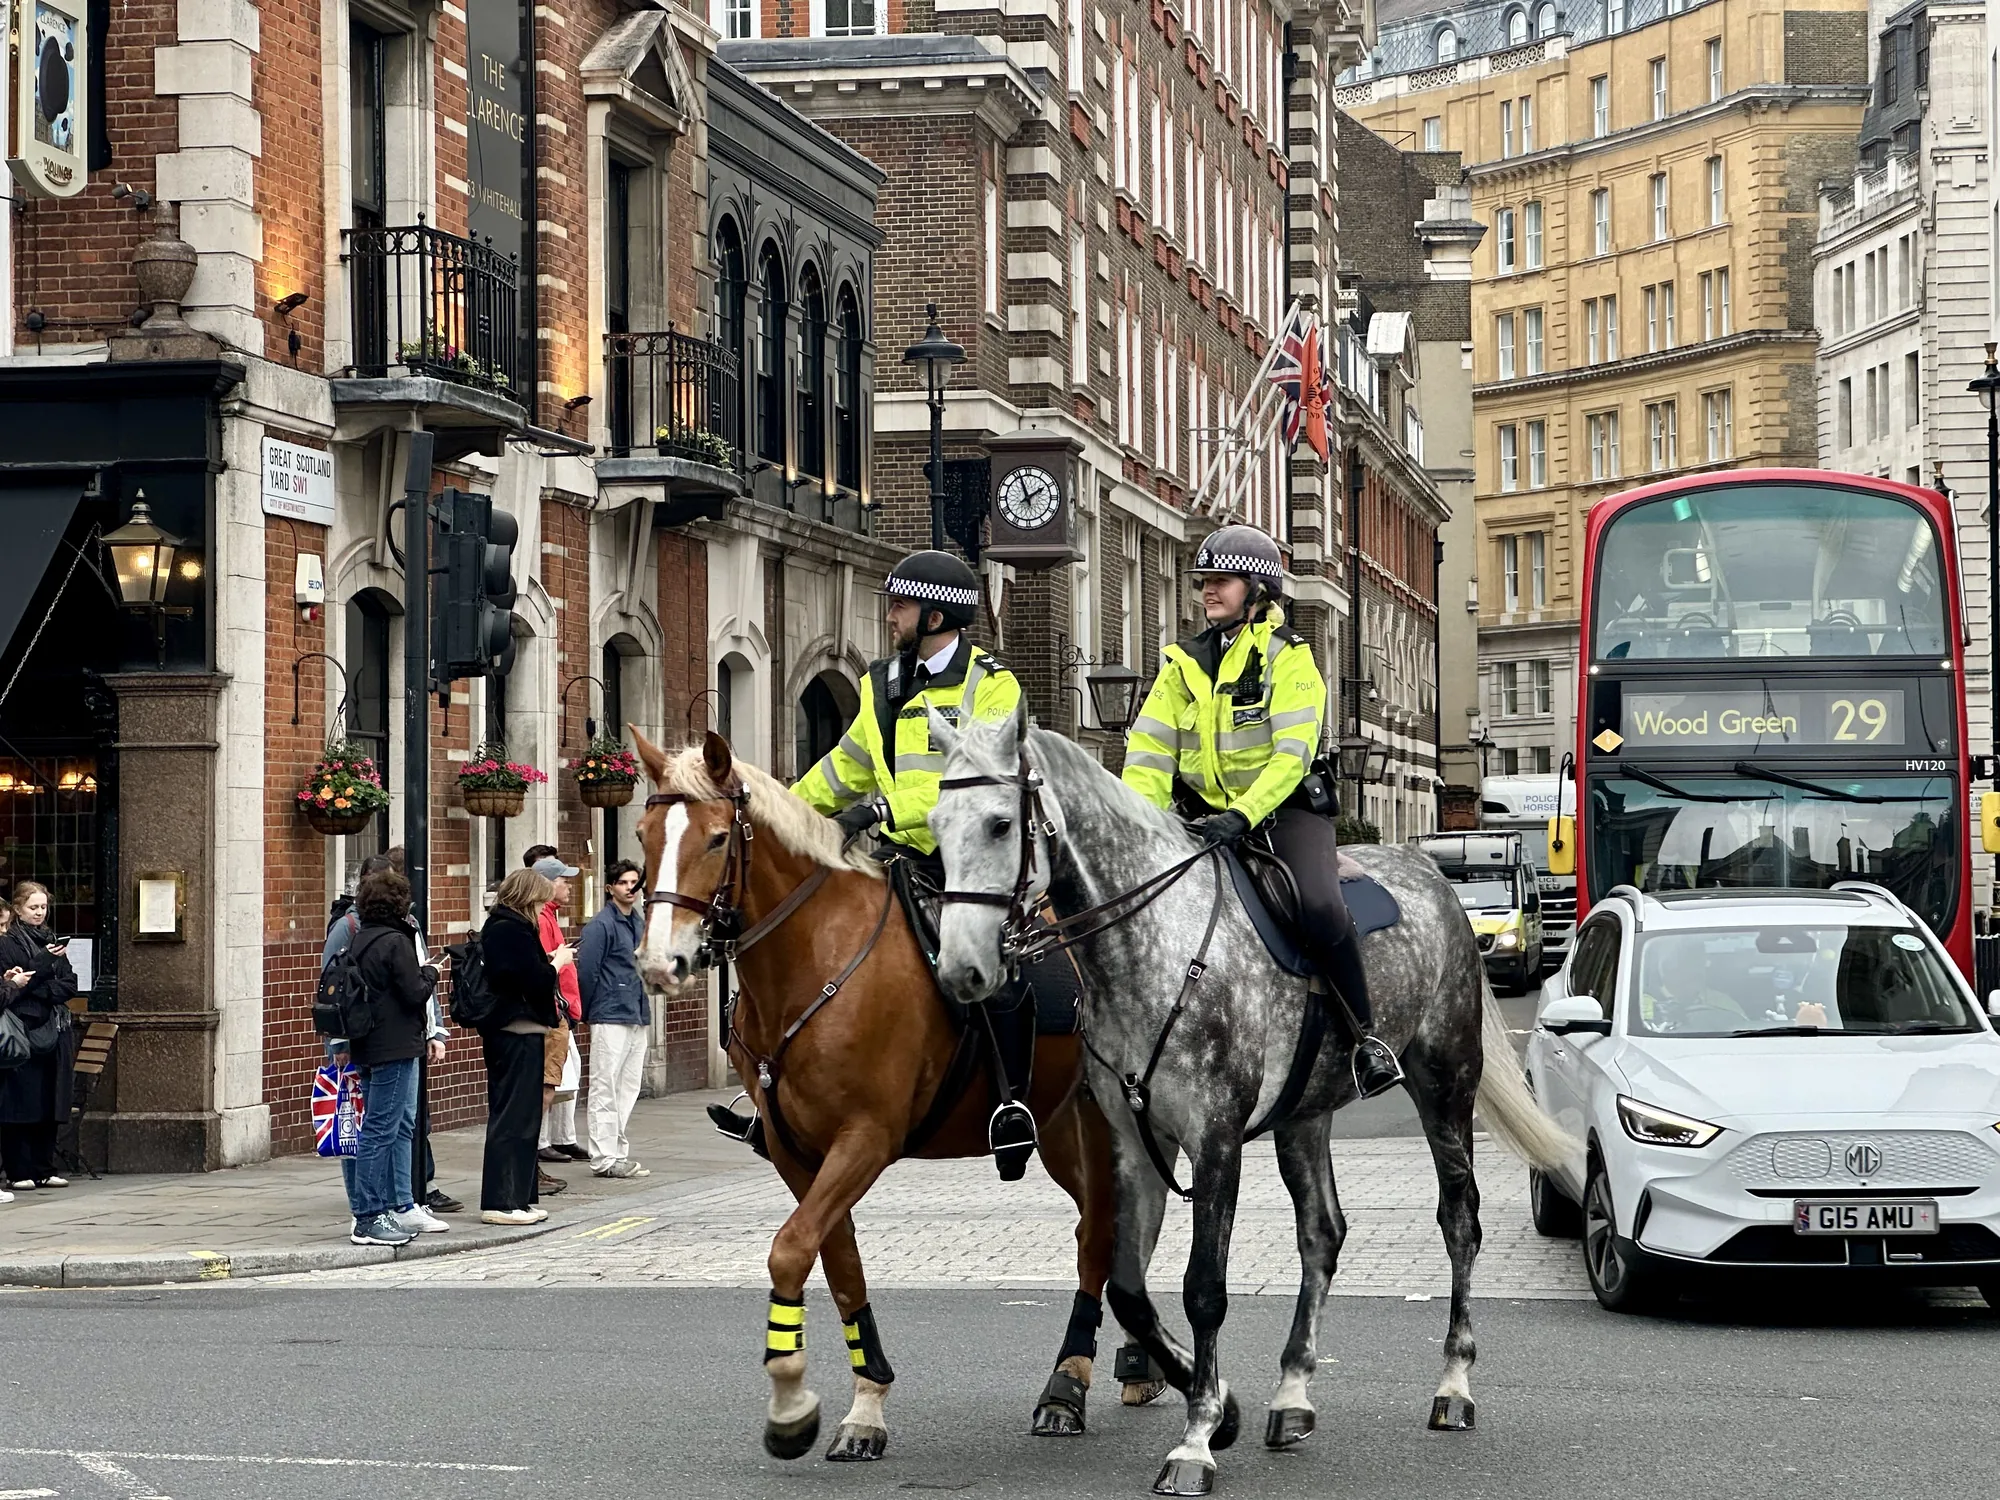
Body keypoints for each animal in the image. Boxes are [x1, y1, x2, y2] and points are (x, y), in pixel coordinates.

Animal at [632, 728, 1139, 1465]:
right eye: (643, 836)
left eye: (718, 839)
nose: (657, 964)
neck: (814, 959)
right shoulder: (796, 1152)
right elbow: (838, 1263)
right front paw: (864, 1406)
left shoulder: (866, 1137)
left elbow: (790, 1249)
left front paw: (791, 1403)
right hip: (1058, 1133)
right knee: (1105, 1231)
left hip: (1095, 1126)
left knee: (1100, 1235)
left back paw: (1067, 1388)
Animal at [926, 704, 1577, 1497]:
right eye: (935, 822)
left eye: (998, 824)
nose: (962, 970)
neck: (1156, 946)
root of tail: (1430, 871)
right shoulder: (1135, 1142)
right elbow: (1128, 1290)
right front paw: (1224, 1407)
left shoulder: (1216, 1140)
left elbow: (1204, 1287)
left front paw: (1198, 1436)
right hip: (1305, 1115)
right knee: (1322, 1233)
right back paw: (1292, 1396)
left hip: (1444, 1083)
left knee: (1460, 1220)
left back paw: (1453, 1385)